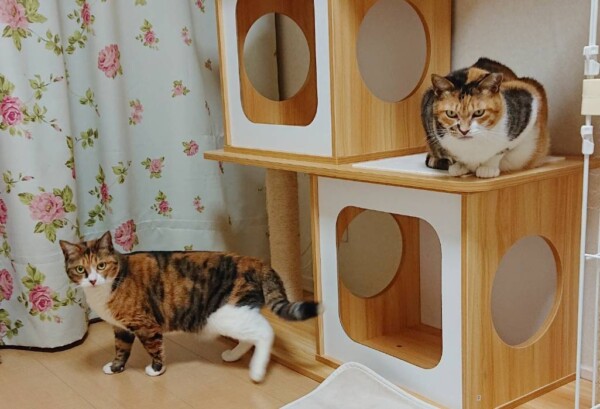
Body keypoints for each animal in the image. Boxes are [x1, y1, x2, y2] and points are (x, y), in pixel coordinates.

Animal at [59, 231, 320, 382]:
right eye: (80, 269)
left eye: (101, 265)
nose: (93, 280)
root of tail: (256, 261)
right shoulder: (121, 327)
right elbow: (121, 349)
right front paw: (116, 368)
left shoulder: (146, 325)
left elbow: (154, 348)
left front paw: (156, 370)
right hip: (234, 314)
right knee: (253, 333)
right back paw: (234, 355)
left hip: (222, 315)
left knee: (266, 331)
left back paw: (256, 371)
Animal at [421, 57, 549, 178]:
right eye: (451, 113)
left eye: (479, 112)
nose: (464, 131)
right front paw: (459, 166)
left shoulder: (530, 100)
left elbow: (501, 150)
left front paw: (488, 168)